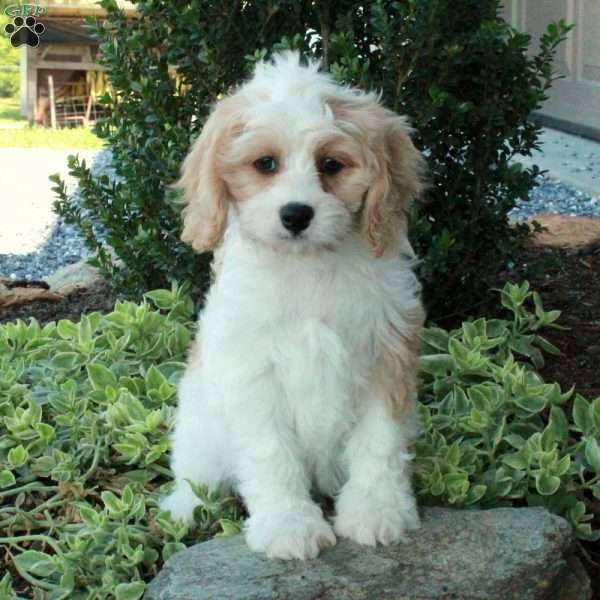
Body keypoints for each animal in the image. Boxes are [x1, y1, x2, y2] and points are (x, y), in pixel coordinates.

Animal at [162, 52, 426, 564]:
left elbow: (379, 441)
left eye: (331, 164)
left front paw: (376, 511)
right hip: (198, 426)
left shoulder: (386, 353)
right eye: (266, 164)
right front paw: (288, 525)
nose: (296, 214)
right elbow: (271, 454)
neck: (307, 268)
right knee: (194, 471)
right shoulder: (252, 371)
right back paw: (185, 507)